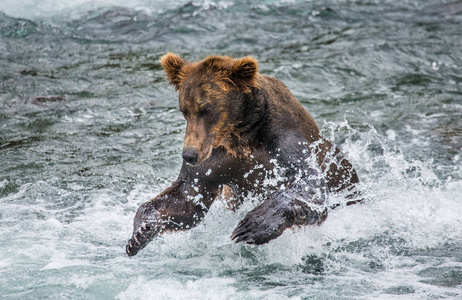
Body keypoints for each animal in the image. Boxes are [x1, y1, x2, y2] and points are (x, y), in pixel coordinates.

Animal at [124, 52, 360, 256]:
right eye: (185, 109)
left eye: (206, 109)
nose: (189, 155)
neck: (242, 134)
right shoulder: (215, 160)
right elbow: (186, 198)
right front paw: (140, 233)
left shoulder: (283, 140)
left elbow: (309, 184)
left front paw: (252, 225)